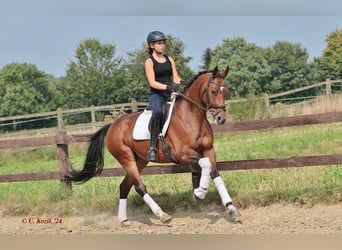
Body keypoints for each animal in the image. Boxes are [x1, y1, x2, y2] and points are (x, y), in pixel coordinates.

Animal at [66, 65, 240, 224]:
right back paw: (162, 215)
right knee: (139, 186)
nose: (221, 119)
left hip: (140, 160)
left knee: (124, 186)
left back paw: (124, 219)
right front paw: (200, 192)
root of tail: (112, 126)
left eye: (226, 91)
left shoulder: (209, 150)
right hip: (126, 158)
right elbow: (205, 164)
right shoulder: (182, 153)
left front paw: (231, 208)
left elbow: (215, 174)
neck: (192, 116)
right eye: (214, 91)